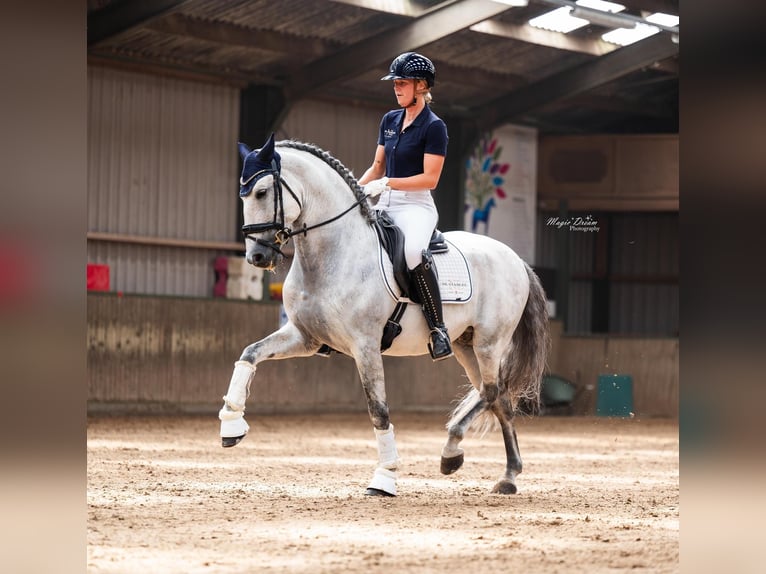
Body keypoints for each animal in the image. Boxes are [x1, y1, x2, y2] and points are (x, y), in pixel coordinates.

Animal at [219, 136, 548, 500]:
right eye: (243, 195)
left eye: (262, 192)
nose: (257, 257)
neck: (334, 253)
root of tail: (515, 258)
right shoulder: (305, 337)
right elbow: (249, 353)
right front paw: (231, 426)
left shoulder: (365, 346)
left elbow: (378, 411)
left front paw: (385, 477)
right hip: (466, 345)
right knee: (498, 398)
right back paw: (508, 476)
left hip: (490, 343)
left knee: (491, 392)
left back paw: (451, 453)